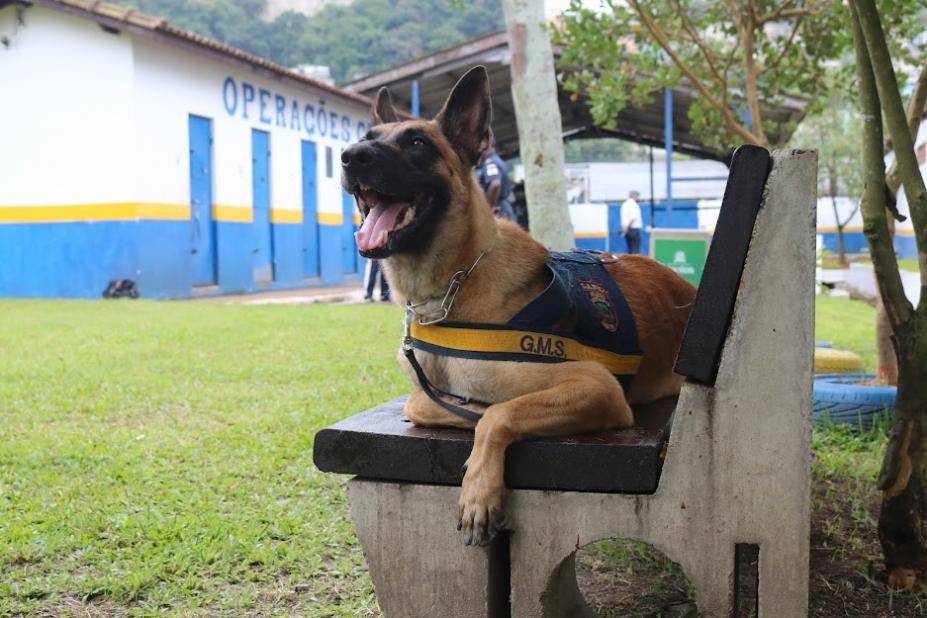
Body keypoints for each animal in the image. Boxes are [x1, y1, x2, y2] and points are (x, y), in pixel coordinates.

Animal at [340, 65, 696, 544]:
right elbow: (420, 402)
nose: (350, 156)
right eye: (368, 136)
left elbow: (497, 413)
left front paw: (479, 484)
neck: (453, 289)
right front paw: (464, 409)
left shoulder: (596, 387)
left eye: (417, 143)